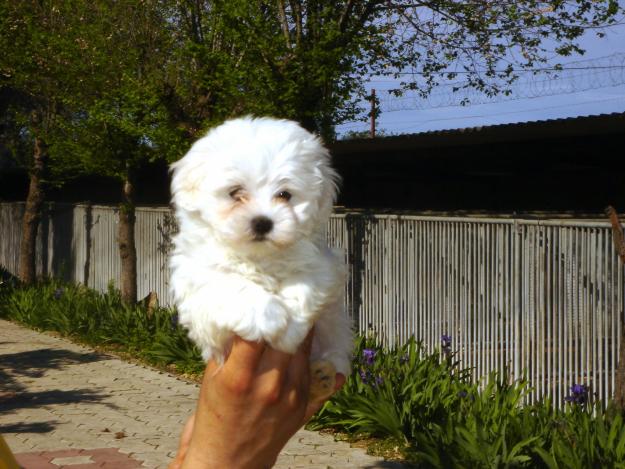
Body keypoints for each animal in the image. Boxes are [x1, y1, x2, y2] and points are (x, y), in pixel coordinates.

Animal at [168, 115, 354, 396]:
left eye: (285, 194)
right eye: (235, 193)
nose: (263, 222)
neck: (260, 258)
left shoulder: (324, 265)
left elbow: (304, 285)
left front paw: (291, 330)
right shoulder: (197, 279)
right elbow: (229, 284)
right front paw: (272, 318)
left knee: (336, 357)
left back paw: (322, 375)